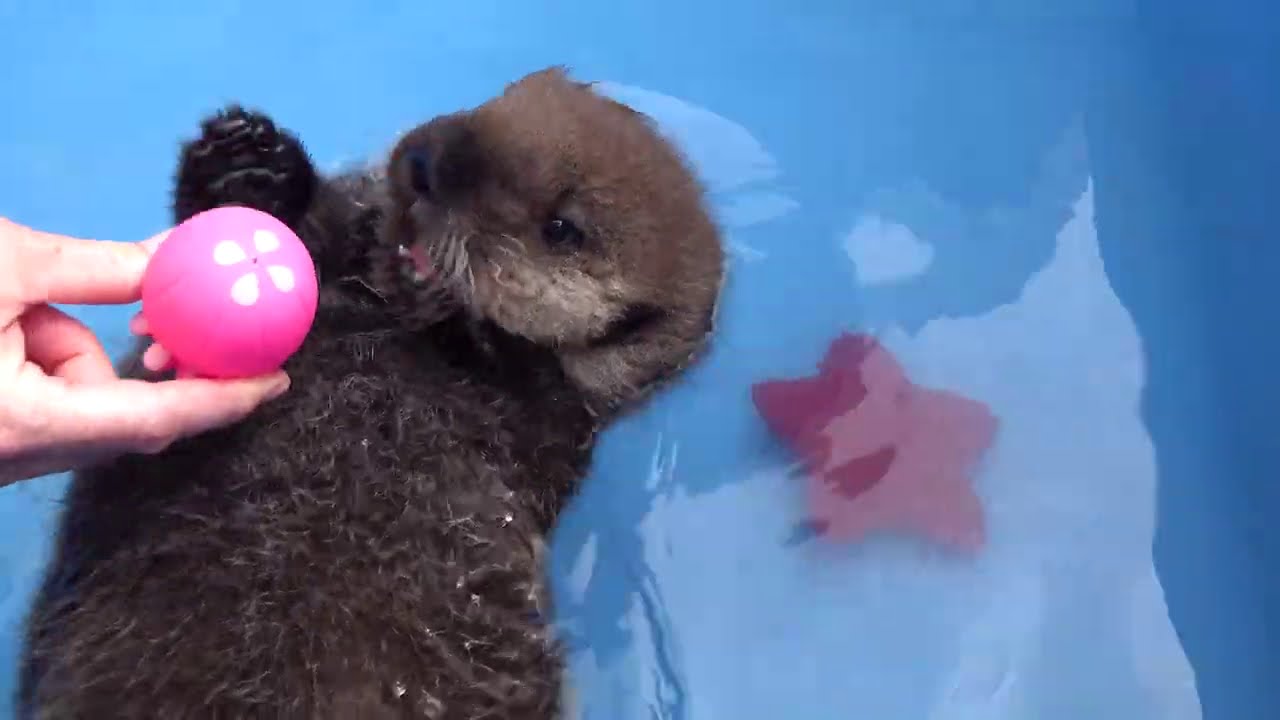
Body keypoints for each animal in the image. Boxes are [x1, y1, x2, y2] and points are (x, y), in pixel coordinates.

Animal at [17, 67, 724, 719]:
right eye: (498, 99)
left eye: (561, 227)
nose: (425, 164)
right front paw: (247, 164)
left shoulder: (556, 431)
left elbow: (524, 402)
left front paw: (466, 316)